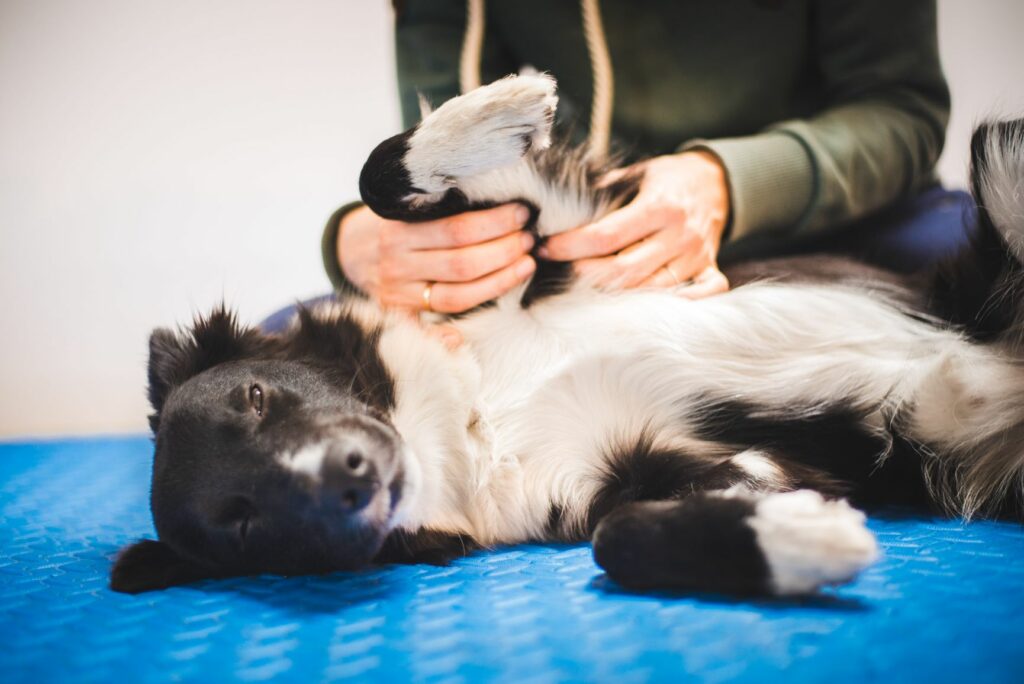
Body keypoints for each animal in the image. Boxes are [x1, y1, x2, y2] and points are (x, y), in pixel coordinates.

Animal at [112, 74, 1024, 593]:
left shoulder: (561, 233)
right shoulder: (663, 473)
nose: (349, 474)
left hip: (989, 191)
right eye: (242, 522)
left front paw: (501, 106)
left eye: (256, 396)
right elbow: (620, 539)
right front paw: (797, 542)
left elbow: (380, 173)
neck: (479, 412)